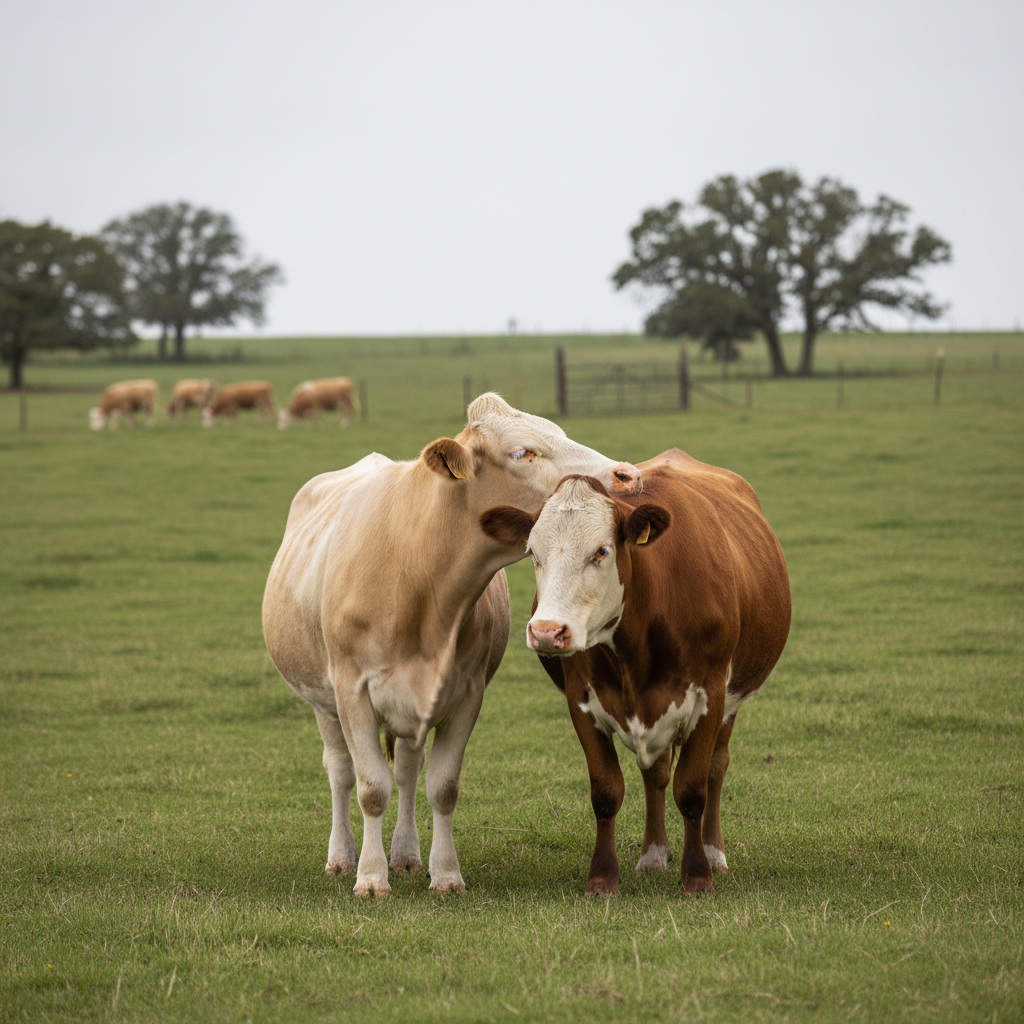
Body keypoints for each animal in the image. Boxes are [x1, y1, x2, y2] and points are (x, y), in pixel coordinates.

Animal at [262, 393, 643, 897]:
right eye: (523, 452)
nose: (628, 474)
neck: (419, 575)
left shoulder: (466, 693)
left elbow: (441, 787)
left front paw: (444, 874)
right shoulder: (351, 692)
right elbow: (370, 788)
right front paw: (370, 877)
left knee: (407, 768)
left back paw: (405, 853)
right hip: (321, 700)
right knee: (340, 770)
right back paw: (341, 856)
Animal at [479, 448, 791, 896]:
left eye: (601, 551)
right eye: (533, 552)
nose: (547, 632)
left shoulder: (710, 696)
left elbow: (692, 788)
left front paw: (698, 876)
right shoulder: (582, 700)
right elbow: (607, 790)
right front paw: (603, 878)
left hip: (731, 701)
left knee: (716, 768)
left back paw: (714, 853)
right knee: (655, 774)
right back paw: (653, 854)